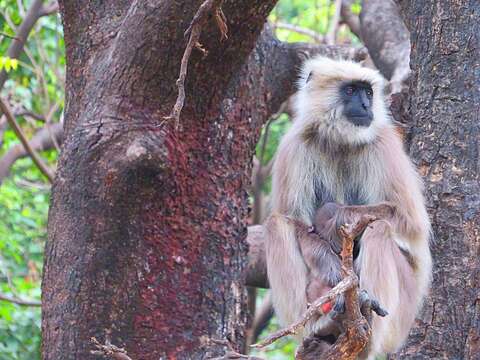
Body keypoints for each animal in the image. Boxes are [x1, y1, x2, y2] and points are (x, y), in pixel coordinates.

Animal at [264, 56, 434, 358]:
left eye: (368, 92)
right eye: (351, 91)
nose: (366, 106)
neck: (339, 141)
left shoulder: (384, 143)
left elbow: (412, 222)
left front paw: (332, 218)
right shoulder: (294, 145)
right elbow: (296, 223)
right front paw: (333, 269)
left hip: (403, 316)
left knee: (380, 229)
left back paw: (366, 336)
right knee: (277, 223)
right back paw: (319, 327)